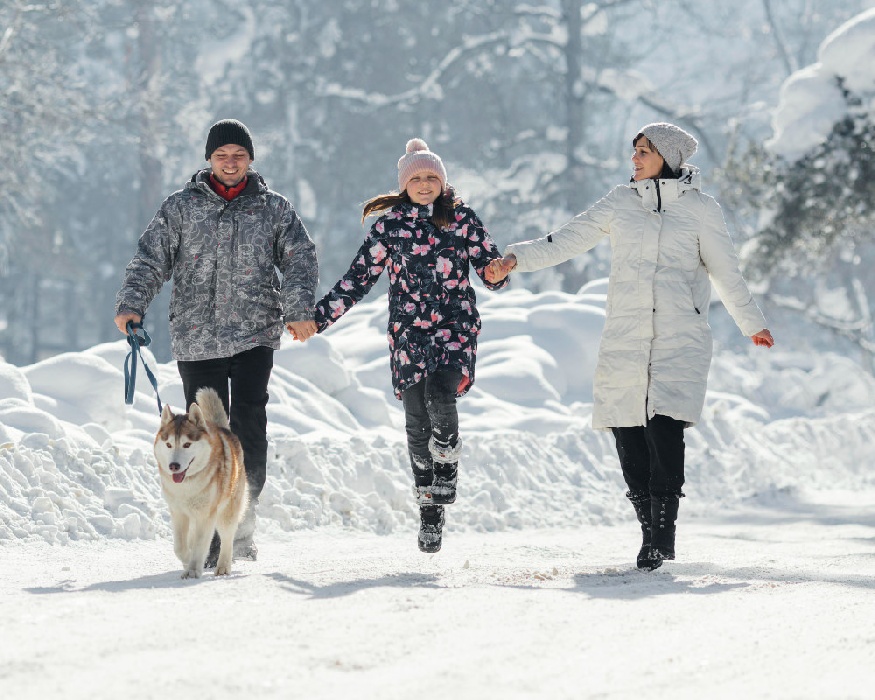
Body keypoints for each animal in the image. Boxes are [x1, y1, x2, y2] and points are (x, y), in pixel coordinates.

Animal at [154, 386, 248, 576]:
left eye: (187, 444)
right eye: (168, 445)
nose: (174, 466)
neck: (187, 486)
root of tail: (222, 429)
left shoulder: (205, 515)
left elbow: (199, 545)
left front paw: (192, 570)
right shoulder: (178, 513)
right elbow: (180, 547)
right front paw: (187, 562)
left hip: (227, 512)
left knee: (227, 537)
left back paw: (223, 566)